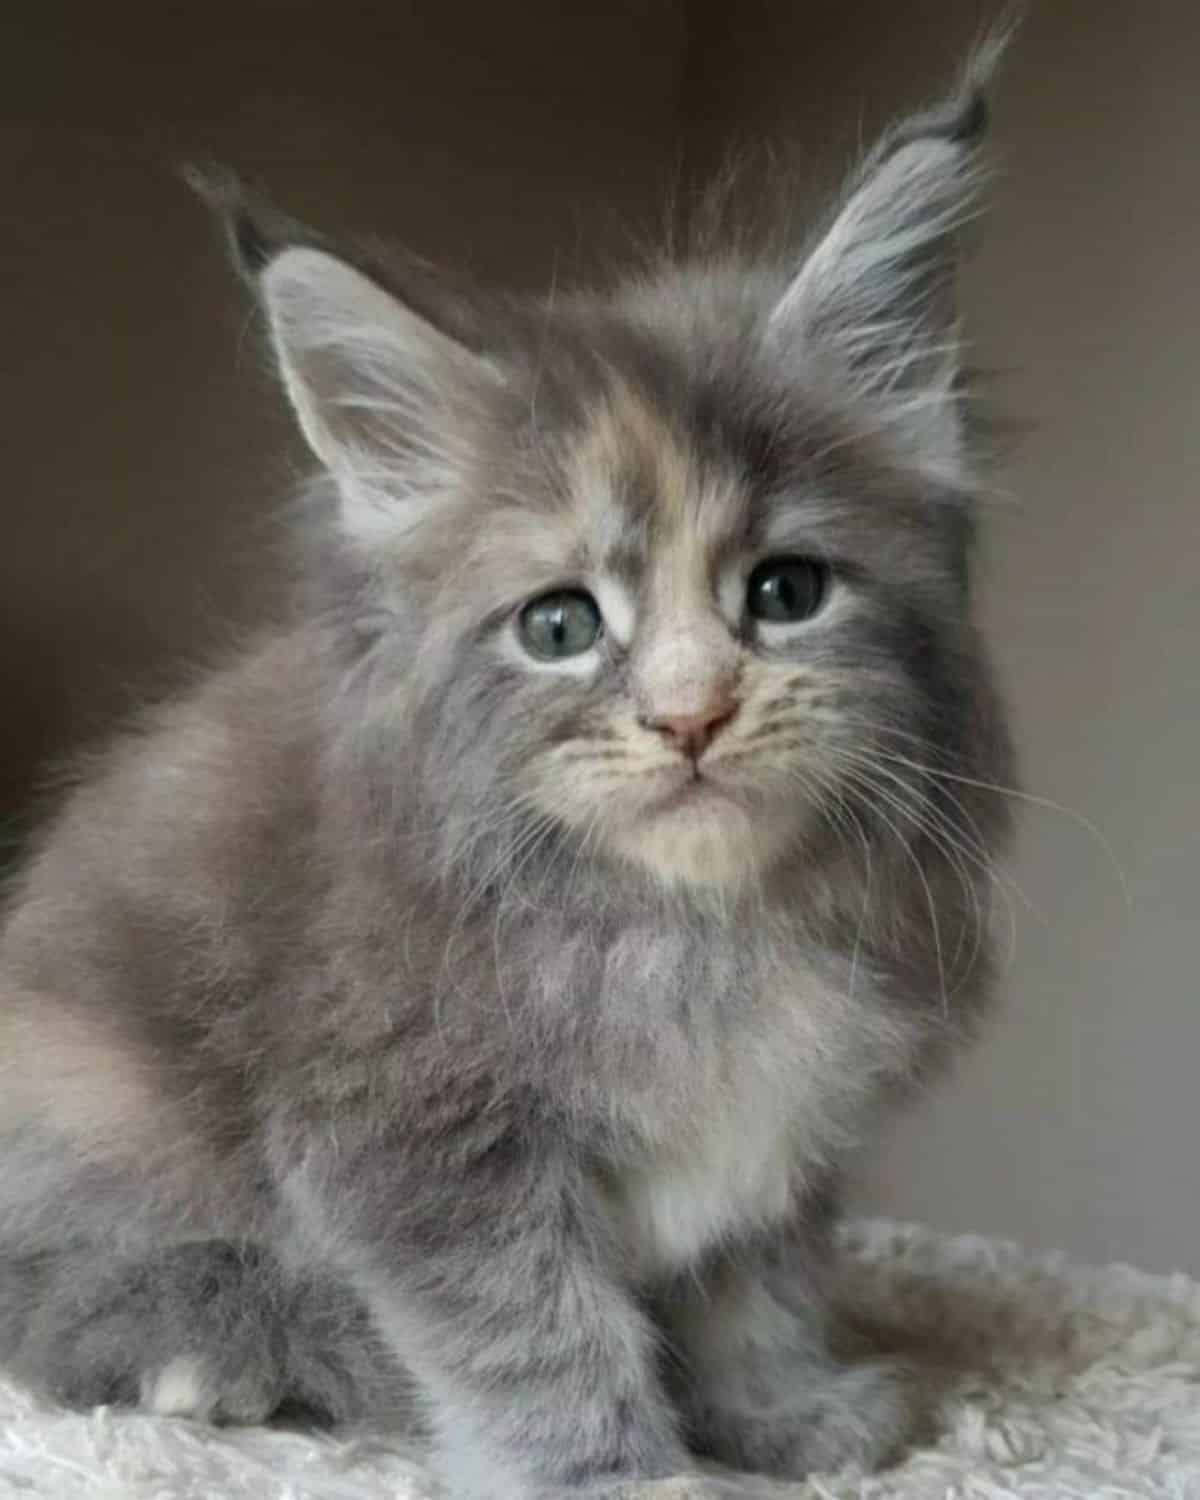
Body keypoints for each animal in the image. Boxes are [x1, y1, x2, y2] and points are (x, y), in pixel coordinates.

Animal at [0, 43, 1014, 1500]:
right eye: (560, 625)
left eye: (787, 592)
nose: (693, 715)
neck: (697, 929)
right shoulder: (415, 1139)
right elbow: (539, 1332)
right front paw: (632, 1475)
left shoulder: (783, 1130)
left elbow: (755, 1283)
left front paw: (781, 1413)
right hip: (97, 1090)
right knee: (53, 1288)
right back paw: (236, 1347)